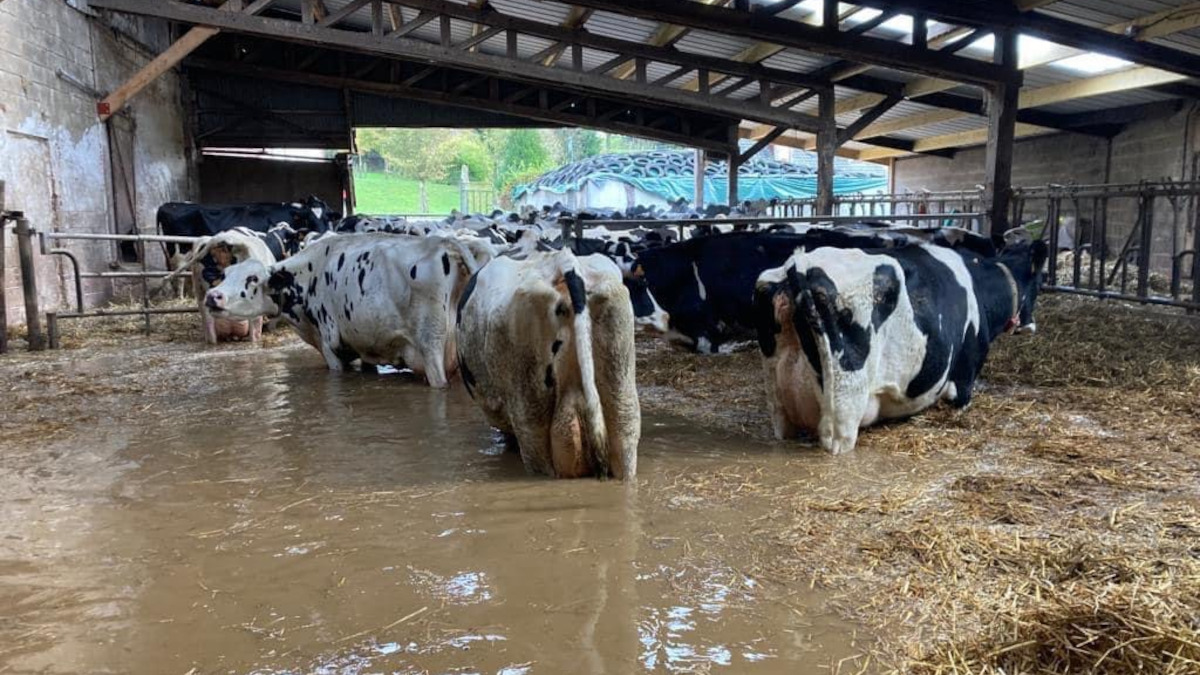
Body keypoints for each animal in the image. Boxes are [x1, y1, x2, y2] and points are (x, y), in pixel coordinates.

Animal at [204, 230, 489, 384]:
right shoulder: (365, 345)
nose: (212, 296)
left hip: (431, 348)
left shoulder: (330, 347)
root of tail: (444, 244)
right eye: (226, 274)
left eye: (252, 279)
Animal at [758, 233, 1051, 451]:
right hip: (845, 403)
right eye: (1040, 283)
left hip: (779, 402)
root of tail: (798, 265)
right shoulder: (964, 379)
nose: (1031, 325)